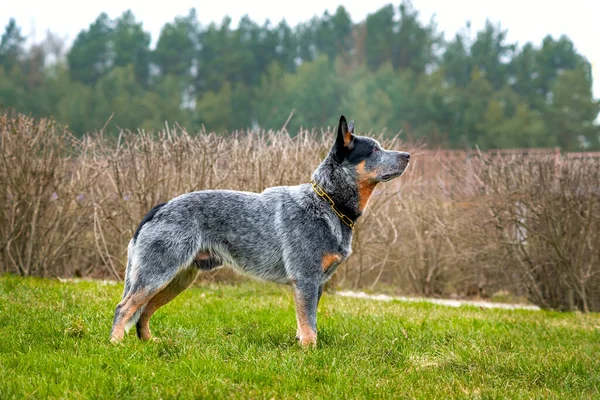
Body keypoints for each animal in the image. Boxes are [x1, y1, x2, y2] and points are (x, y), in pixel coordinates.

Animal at [110, 115, 410, 346]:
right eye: (373, 150)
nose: (407, 155)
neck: (327, 202)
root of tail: (159, 207)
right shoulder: (306, 279)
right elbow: (309, 325)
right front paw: (310, 353)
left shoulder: (317, 284)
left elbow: (307, 323)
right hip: (157, 275)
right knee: (124, 307)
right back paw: (115, 344)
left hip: (176, 280)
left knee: (143, 311)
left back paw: (149, 342)